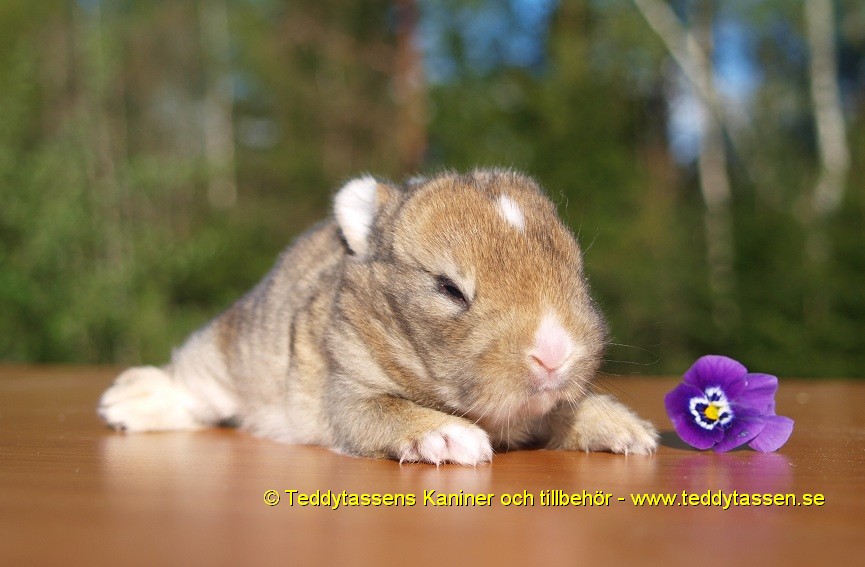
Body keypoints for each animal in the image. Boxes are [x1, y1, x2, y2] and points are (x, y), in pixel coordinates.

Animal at [98, 169, 658, 465]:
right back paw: (126, 403)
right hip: (228, 357)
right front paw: (454, 440)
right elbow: (387, 412)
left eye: (576, 271)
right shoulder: (348, 393)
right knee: (190, 389)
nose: (554, 355)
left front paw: (627, 431)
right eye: (448, 288)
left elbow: (564, 412)